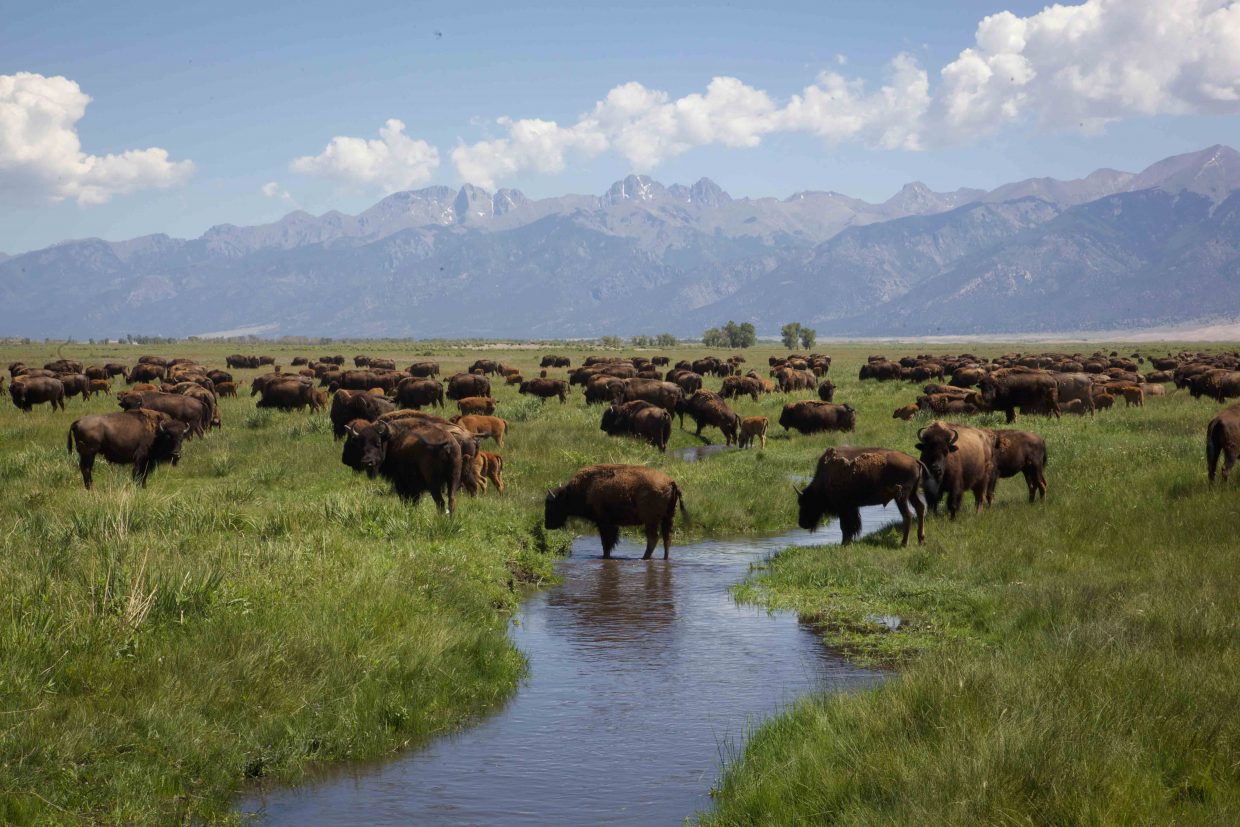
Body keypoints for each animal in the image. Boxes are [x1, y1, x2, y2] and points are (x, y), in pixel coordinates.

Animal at [544, 464, 688, 559]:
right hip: (668, 519)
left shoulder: (604, 523)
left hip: (651, 521)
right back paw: (663, 558)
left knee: (653, 538)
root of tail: (670, 482)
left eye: (551, 506)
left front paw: (605, 557)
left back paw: (644, 558)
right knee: (666, 539)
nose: (547, 525)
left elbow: (606, 543)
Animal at [795, 447, 926, 546]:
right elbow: (850, 526)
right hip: (912, 494)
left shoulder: (844, 509)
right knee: (920, 508)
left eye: (807, 502)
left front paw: (844, 543)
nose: (801, 523)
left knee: (907, 515)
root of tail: (915, 460)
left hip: (901, 497)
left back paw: (904, 543)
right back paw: (920, 540)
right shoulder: (851, 507)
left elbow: (846, 527)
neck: (825, 479)